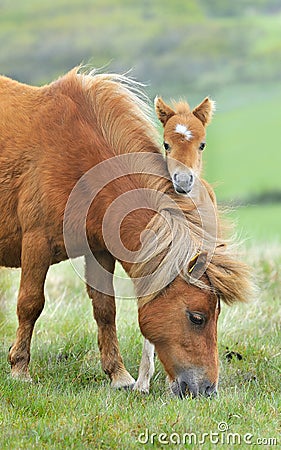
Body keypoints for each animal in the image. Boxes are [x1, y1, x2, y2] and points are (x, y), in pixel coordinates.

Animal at [0, 67, 253, 398]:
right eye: (196, 317)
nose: (208, 390)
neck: (75, 159)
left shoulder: (99, 251)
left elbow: (105, 309)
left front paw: (118, 375)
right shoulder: (36, 244)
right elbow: (30, 304)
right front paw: (19, 370)